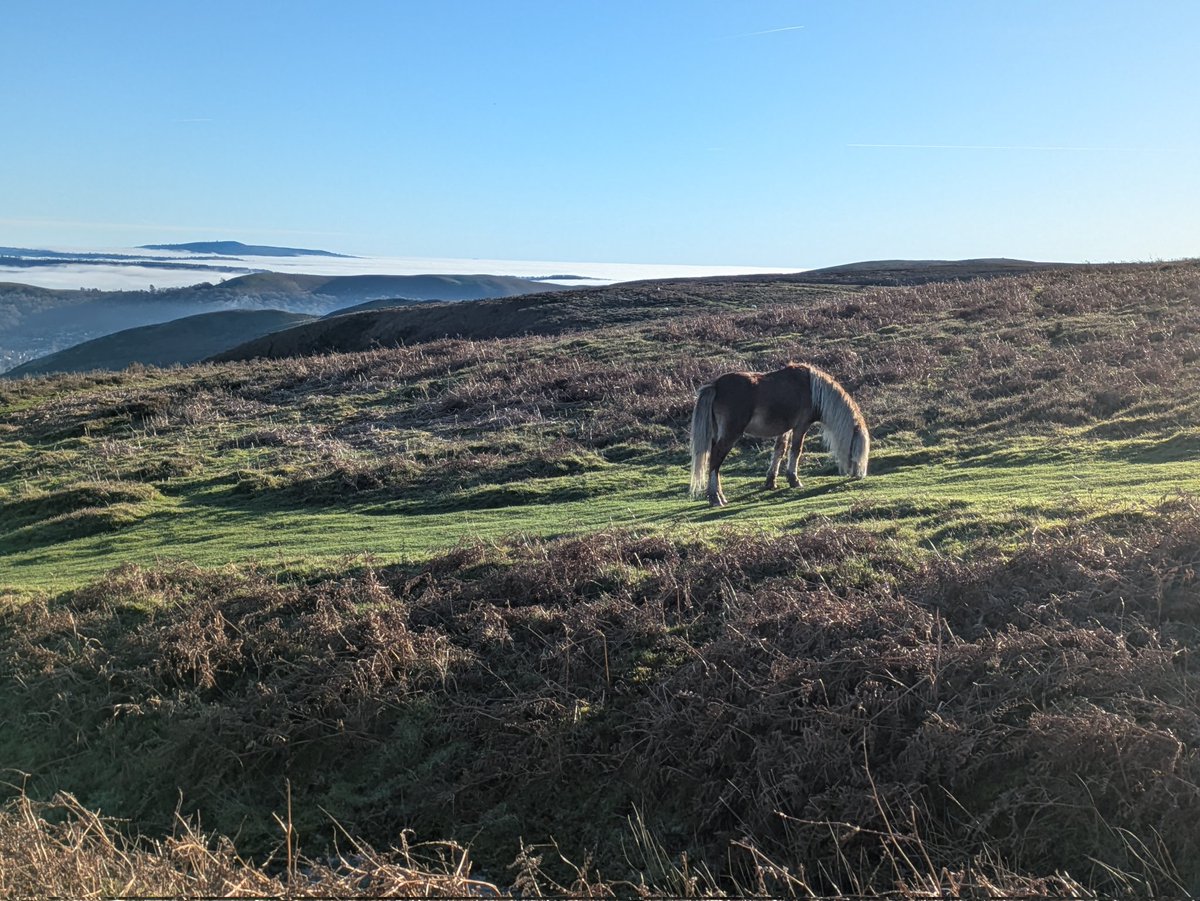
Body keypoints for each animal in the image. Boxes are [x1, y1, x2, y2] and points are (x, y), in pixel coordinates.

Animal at [689, 363, 870, 506]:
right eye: (856, 449)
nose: (858, 474)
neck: (812, 389)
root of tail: (715, 386)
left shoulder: (786, 429)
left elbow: (779, 451)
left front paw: (771, 482)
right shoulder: (800, 426)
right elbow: (796, 451)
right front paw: (794, 481)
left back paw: (720, 496)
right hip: (730, 434)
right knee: (715, 458)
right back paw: (715, 499)